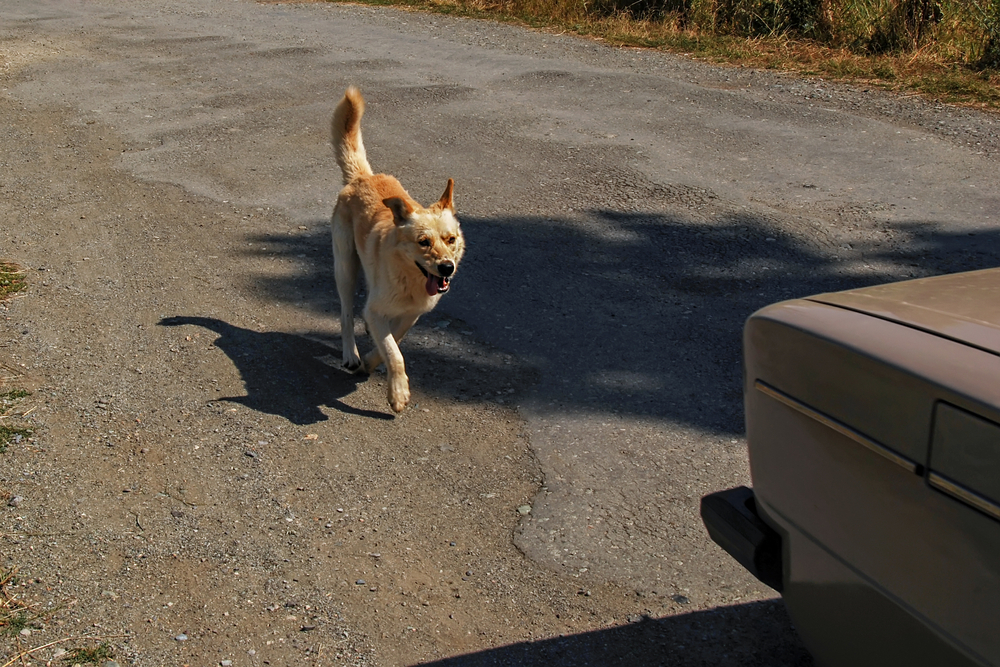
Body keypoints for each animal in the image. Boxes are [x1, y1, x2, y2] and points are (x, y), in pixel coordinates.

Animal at [332, 87, 464, 412]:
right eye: (423, 242)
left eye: (450, 239)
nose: (447, 268)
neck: (410, 280)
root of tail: (362, 177)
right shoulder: (376, 309)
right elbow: (395, 353)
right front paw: (398, 392)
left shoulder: (412, 314)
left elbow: (394, 340)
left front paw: (372, 361)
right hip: (345, 267)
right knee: (346, 312)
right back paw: (351, 354)